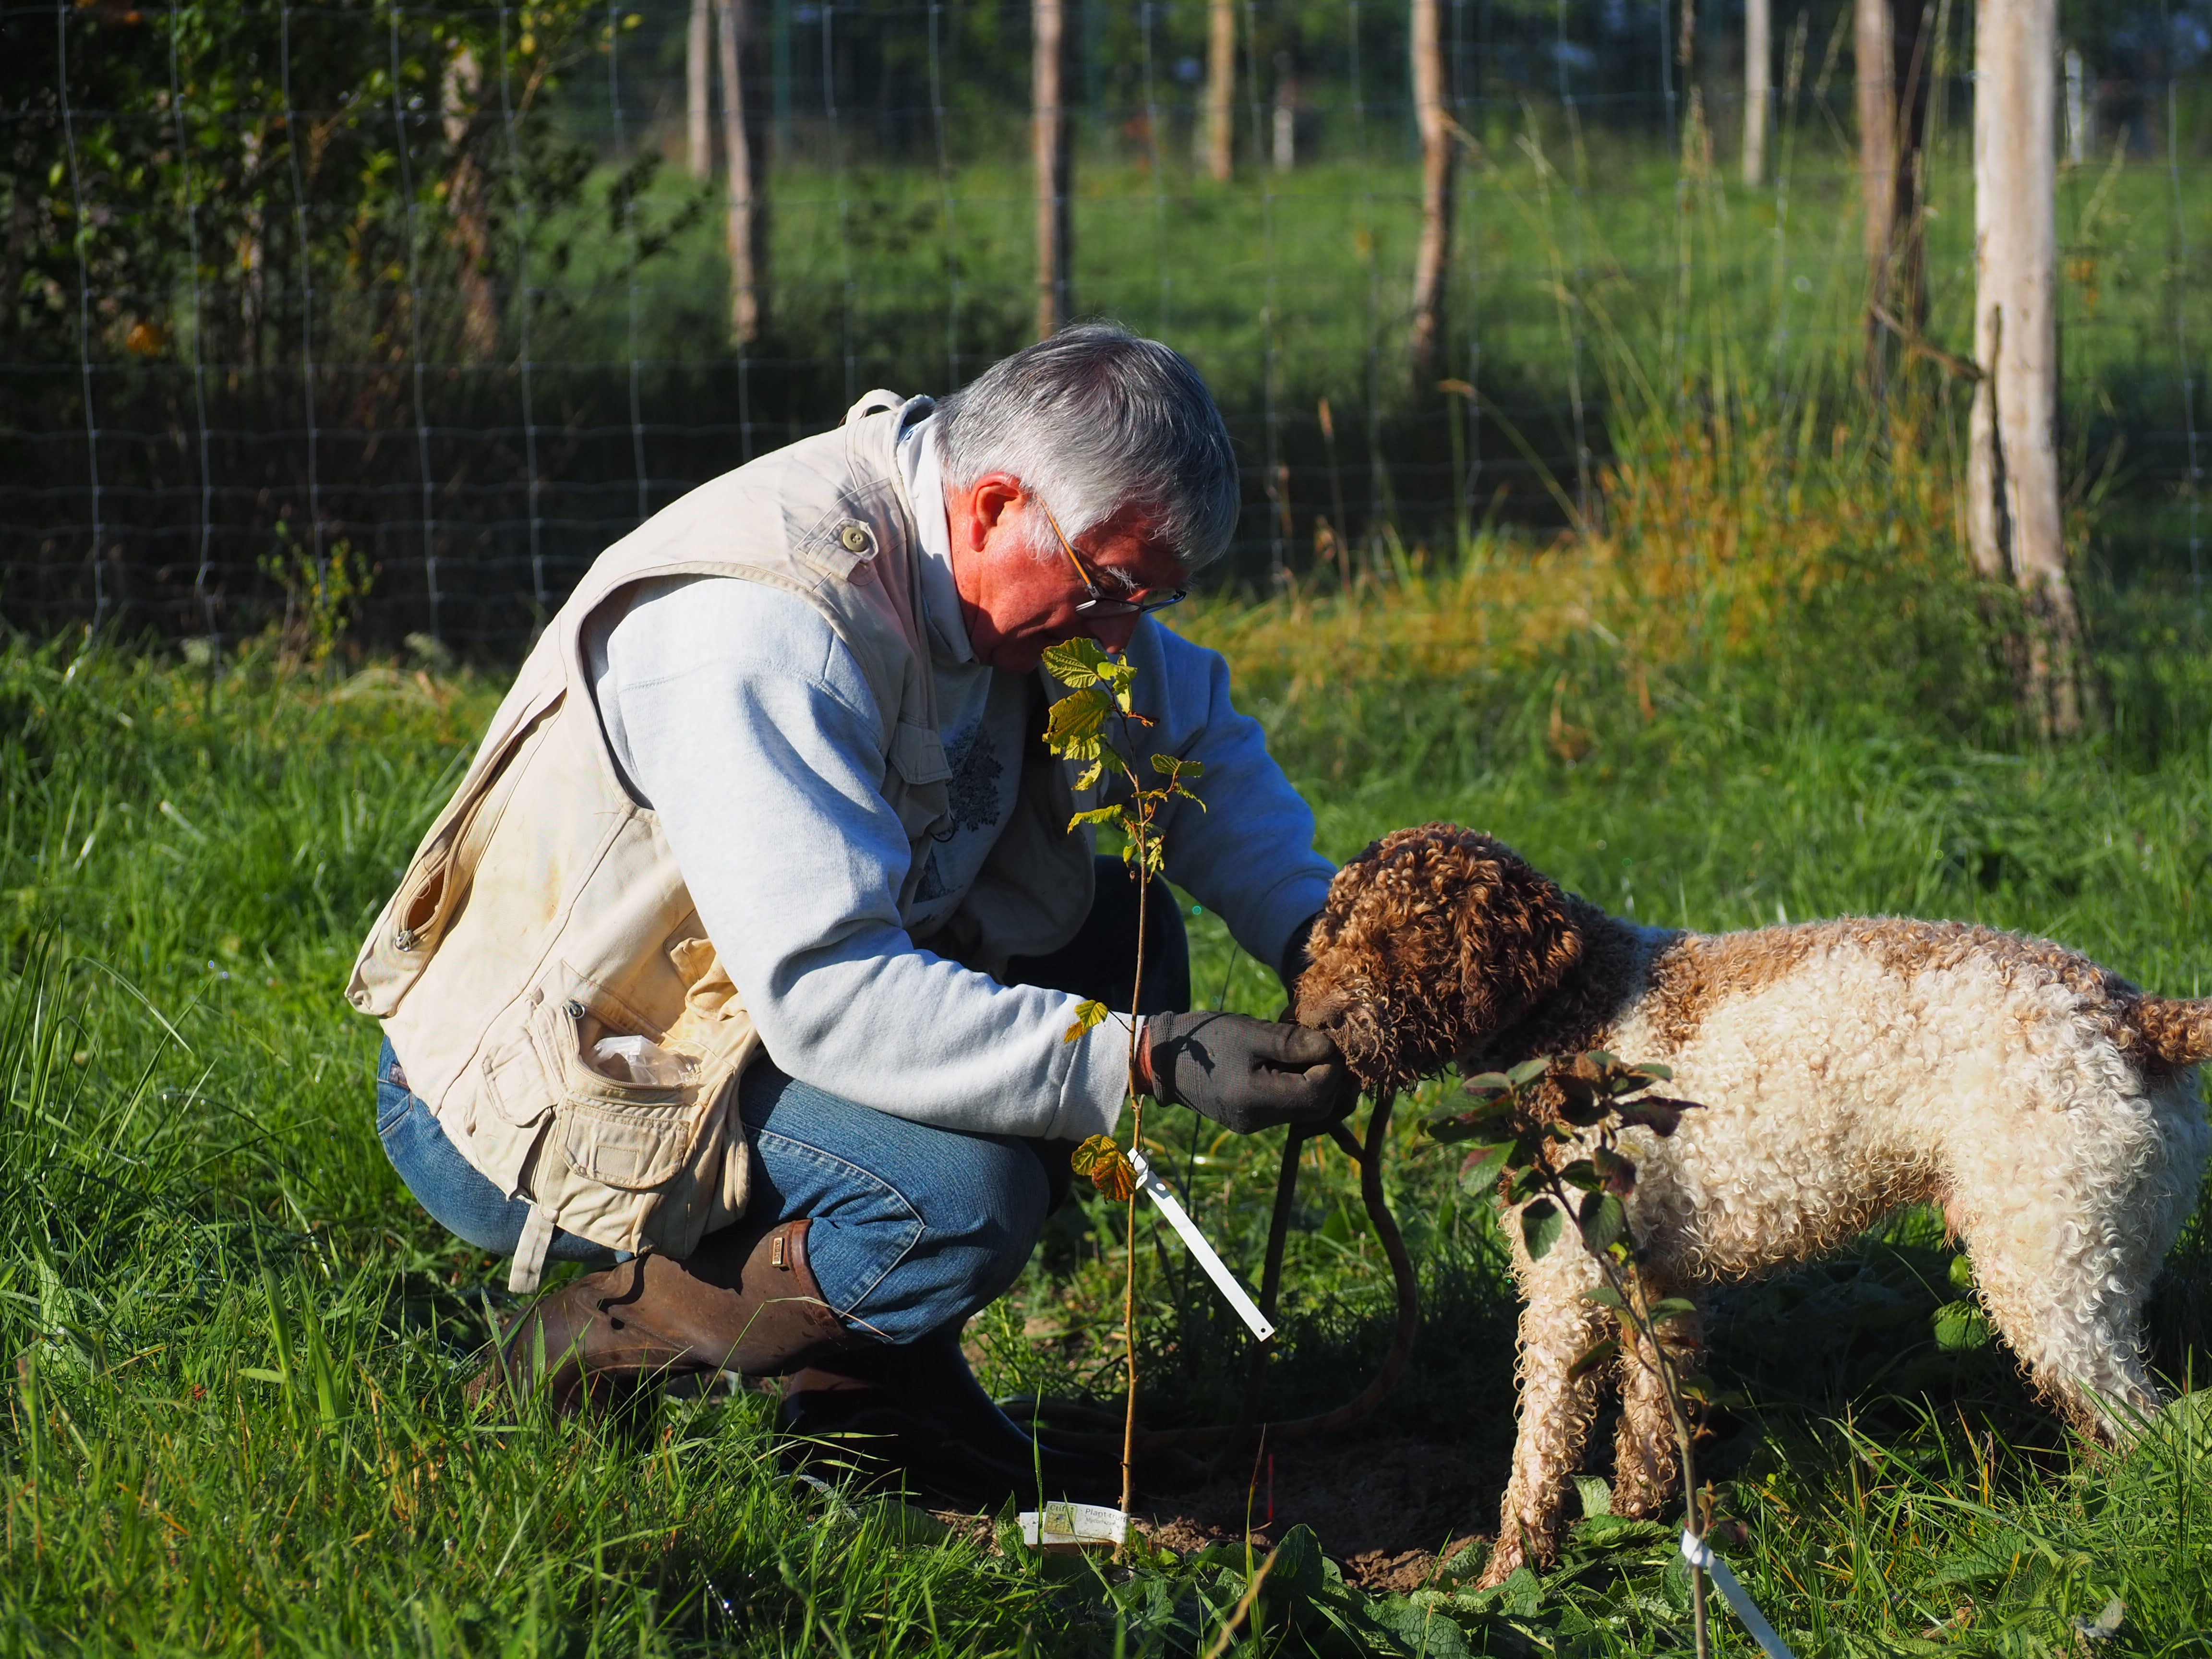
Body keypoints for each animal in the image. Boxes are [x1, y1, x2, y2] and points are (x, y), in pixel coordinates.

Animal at [1293, 823, 2212, 1586]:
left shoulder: (1564, 1289)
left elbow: (1539, 1452)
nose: (1311, 1024)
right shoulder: (1656, 1285)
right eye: (1332, 930)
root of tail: (2139, 1014)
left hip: (2054, 1274)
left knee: (2154, 1433)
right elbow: (1650, 1426)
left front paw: (1505, 1579)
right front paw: (1643, 1527)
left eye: (1403, 937)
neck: (1574, 1004)